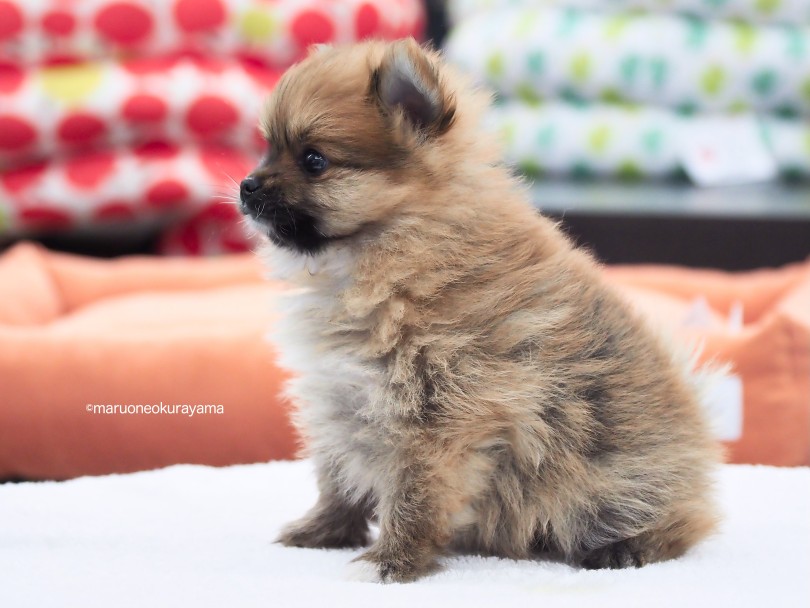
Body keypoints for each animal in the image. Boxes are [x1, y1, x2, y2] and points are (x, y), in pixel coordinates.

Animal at [237, 39, 716, 584]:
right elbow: (337, 480)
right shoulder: (342, 400)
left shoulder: (441, 417)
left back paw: (625, 548)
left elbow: (414, 496)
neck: (394, 245)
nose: (247, 185)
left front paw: (390, 563)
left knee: (677, 525)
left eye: (314, 160)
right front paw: (322, 532)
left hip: (620, 482)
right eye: (267, 149)